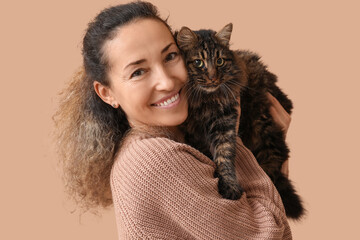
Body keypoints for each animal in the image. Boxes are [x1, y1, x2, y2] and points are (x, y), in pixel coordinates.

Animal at [176, 23, 306, 219]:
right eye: (198, 62)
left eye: (220, 61)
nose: (213, 77)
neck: (204, 102)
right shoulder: (192, 132)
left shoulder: (225, 121)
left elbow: (225, 156)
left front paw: (229, 187)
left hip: (264, 129)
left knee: (274, 165)